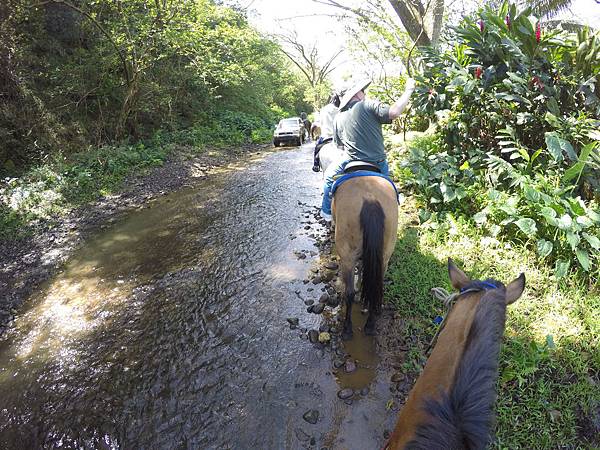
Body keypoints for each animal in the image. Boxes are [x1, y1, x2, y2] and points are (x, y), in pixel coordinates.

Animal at [332, 176, 398, 338]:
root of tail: (370, 198)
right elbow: (363, 267)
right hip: (384, 257)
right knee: (375, 288)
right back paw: (370, 325)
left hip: (347, 256)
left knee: (348, 292)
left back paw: (347, 329)